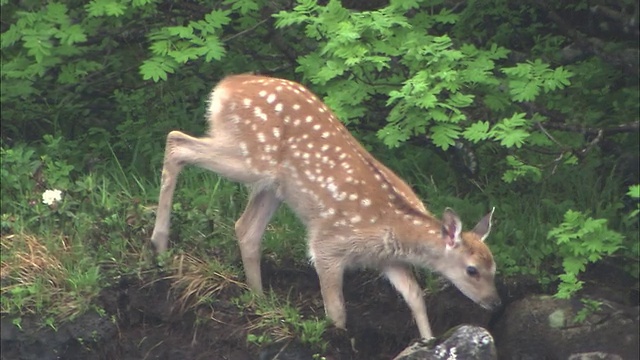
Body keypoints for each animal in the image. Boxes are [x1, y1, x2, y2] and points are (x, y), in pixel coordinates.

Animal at [150, 74, 500, 340]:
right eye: (472, 270)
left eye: (493, 267)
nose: (494, 302)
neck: (394, 224)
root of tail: (224, 87)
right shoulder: (328, 244)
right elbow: (337, 309)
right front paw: (337, 339)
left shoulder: (386, 259)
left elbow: (415, 296)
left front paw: (428, 340)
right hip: (250, 157)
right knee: (177, 141)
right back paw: (160, 242)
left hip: (273, 184)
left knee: (245, 228)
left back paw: (260, 301)